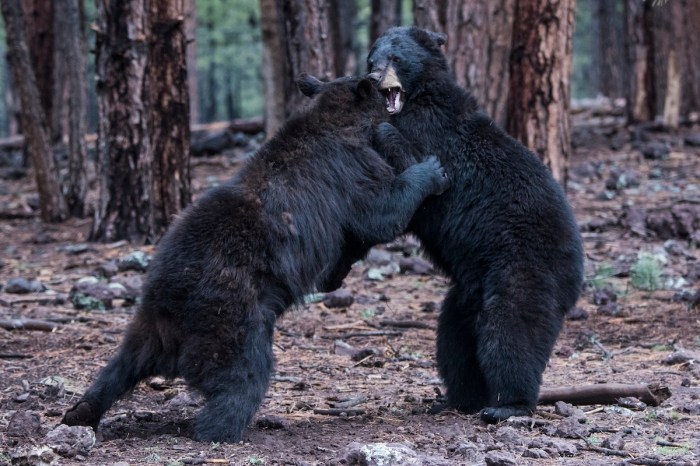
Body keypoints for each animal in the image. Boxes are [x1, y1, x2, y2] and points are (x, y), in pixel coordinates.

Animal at [62, 74, 449, 443]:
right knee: (245, 373)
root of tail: (168, 308)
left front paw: (335, 275)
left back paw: (82, 411)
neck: (340, 119)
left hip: (144, 329)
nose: (385, 79)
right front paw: (432, 171)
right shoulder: (350, 171)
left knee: (117, 368)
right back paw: (224, 428)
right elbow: (381, 211)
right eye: (380, 87)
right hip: (234, 315)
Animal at [360, 26, 585, 422]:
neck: (418, 97)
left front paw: (381, 129)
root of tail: (577, 271)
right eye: (372, 57)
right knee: (454, 341)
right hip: (468, 291)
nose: (374, 77)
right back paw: (458, 397)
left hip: (522, 267)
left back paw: (508, 404)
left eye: (396, 57)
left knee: (510, 329)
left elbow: (416, 165)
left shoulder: (432, 134)